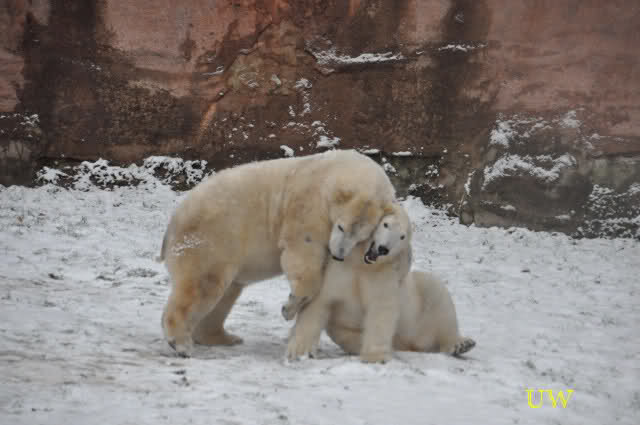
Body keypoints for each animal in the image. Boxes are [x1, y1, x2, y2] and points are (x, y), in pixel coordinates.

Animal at [158, 149, 396, 357]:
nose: (338, 254)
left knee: (227, 292)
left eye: (361, 237)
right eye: (340, 227)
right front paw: (288, 308)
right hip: (213, 236)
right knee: (205, 283)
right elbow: (302, 251)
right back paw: (181, 343)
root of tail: (174, 220)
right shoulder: (308, 204)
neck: (338, 168)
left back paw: (224, 337)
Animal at [286, 202, 475, 363]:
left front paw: (376, 357)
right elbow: (321, 300)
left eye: (402, 236)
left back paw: (461, 344)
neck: (361, 263)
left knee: (440, 301)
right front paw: (300, 351)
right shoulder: (339, 271)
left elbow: (381, 308)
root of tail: (415, 344)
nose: (384, 249)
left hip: (422, 303)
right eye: (385, 224)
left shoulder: (383, 275)